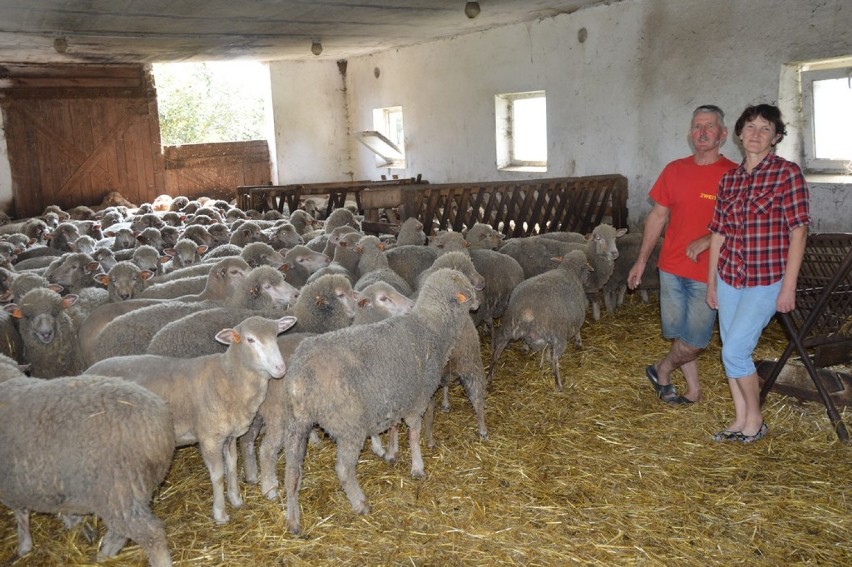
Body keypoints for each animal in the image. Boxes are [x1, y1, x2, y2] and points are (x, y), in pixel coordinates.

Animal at [280, 268, 480, 536]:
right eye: (466, 287)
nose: (477, 303)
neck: (432, 329)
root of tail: (301, 376)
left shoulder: (395, 396)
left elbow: (394, 426)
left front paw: (391, 453)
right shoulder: (417, 398)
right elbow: (414, 433)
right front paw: (418, 467)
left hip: (296, 423)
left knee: (292, 472)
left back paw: (293, 521)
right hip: (348, 424)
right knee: (343, 469)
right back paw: (360, 503)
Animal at [486, 251, 592, 392]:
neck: (569, 270)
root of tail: (527, 310)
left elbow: (546, 348)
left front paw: (545, 357)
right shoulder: (576, 319)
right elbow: (577, 331)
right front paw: (579, 343)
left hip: (508, 327)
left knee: (497, 350)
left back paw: (489, 376)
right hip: (558, 336)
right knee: (555, 359)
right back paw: (558, 384)